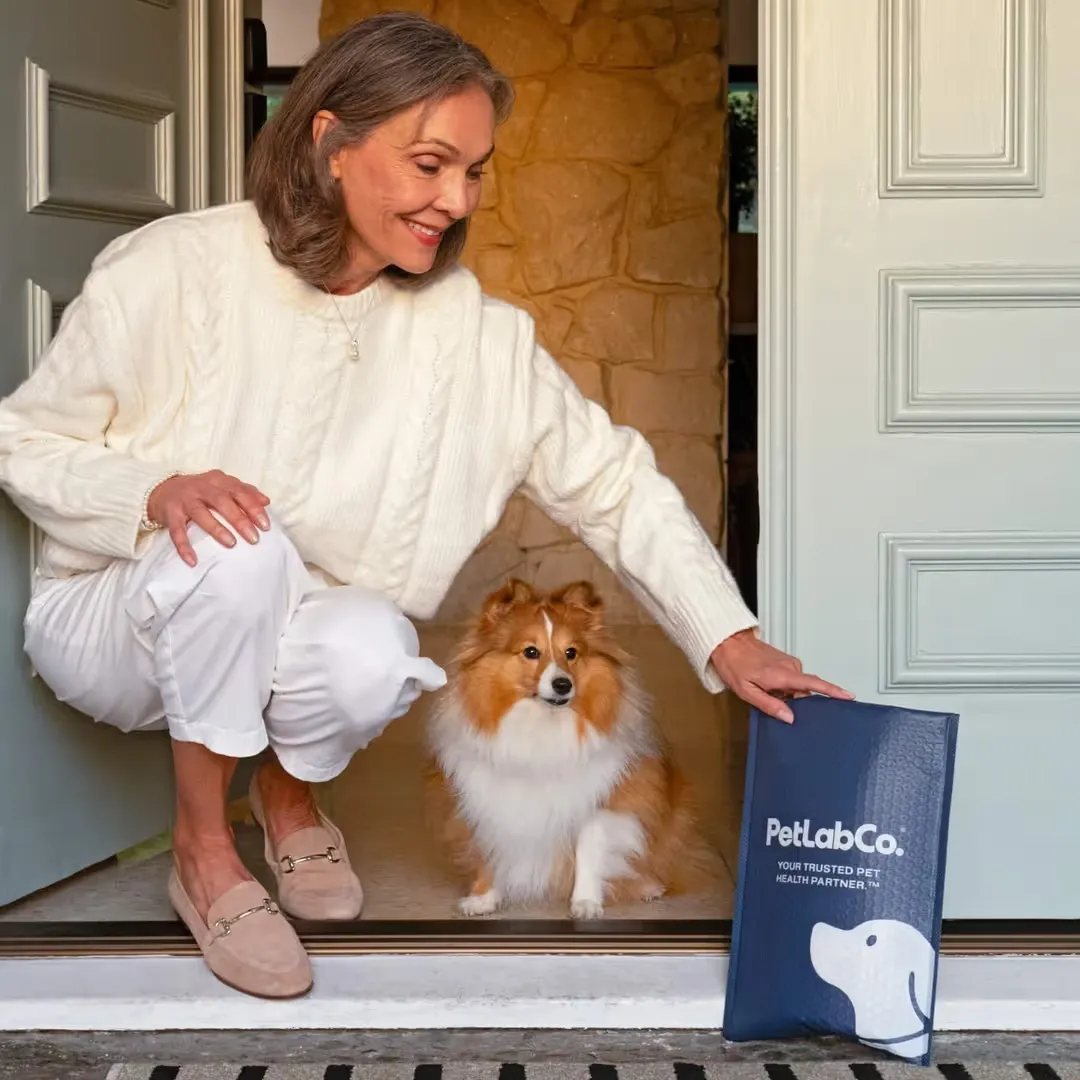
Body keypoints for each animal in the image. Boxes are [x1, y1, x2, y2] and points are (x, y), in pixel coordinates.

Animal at [424, 578, 703, 919]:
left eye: (571, 653)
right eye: (531, 652)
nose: (563, 684)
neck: (541, 724)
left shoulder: (597, 801)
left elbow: (589, 852)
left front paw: (586, 904)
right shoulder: (487, 799)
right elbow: (489, 849)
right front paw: (483, 898)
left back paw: (648, 887)